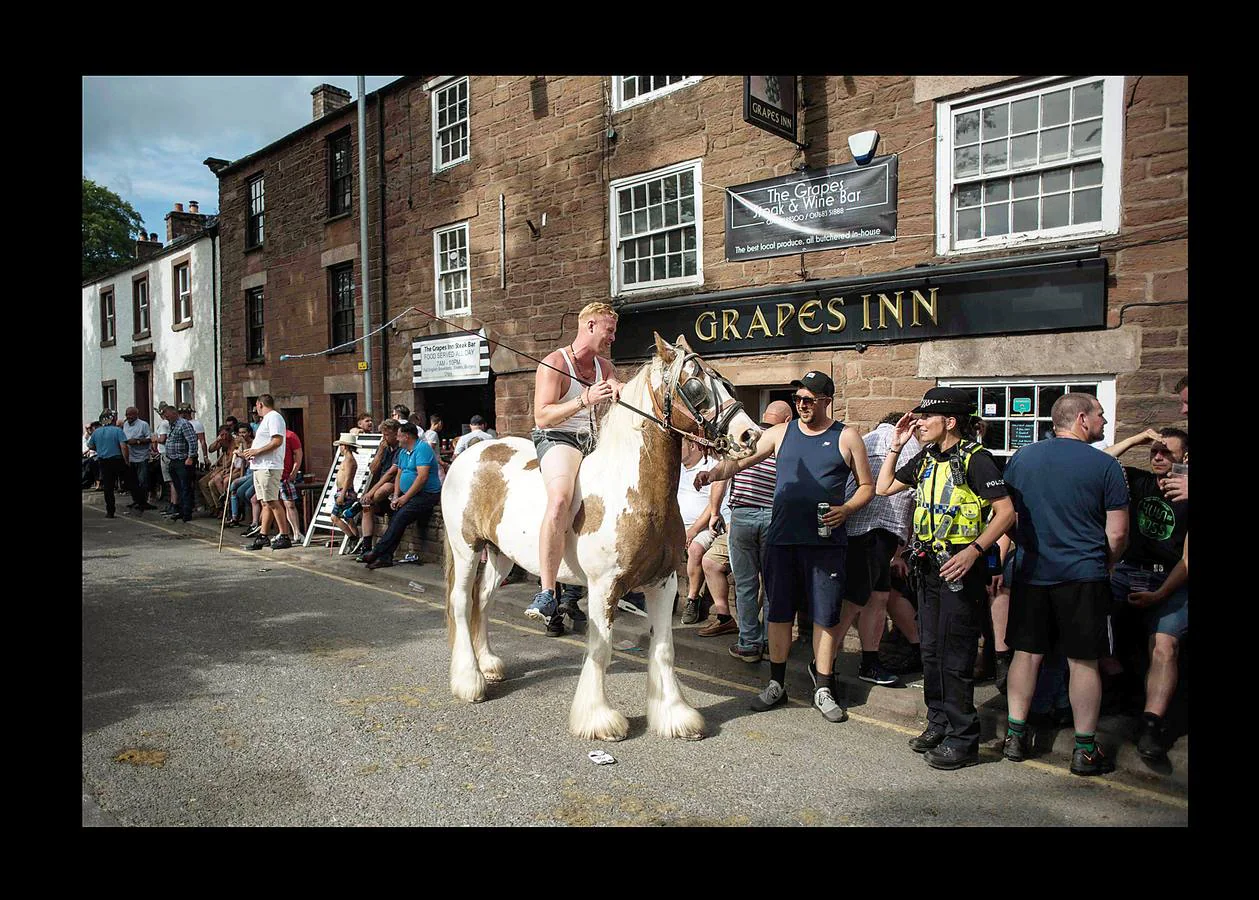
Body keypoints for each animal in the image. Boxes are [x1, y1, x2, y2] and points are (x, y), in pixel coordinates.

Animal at [440, 334, 755, 745]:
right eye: (695, 385)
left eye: (724, 379)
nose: (749, 434)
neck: (634, 489)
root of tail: (469, 452)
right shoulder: (604, 586)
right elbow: (601, 650)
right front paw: (598, 718)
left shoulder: (664, 583)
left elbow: (664, 649)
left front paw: (674, 715)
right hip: (466, 549)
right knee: (462, 603)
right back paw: (469, 680)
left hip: (499, 555)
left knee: (483, 601)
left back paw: (489, 664)